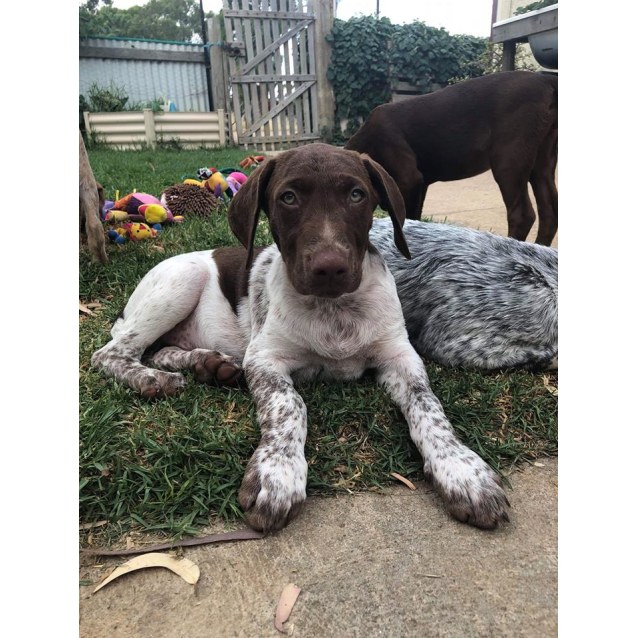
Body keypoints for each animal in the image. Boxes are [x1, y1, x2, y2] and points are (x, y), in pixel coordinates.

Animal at [344, 71, 560, 246]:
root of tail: (546, 79)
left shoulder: (409, 180)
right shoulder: (420, 185)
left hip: (508, 161)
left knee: (522, 215)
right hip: (541, 164)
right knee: (550, 212)